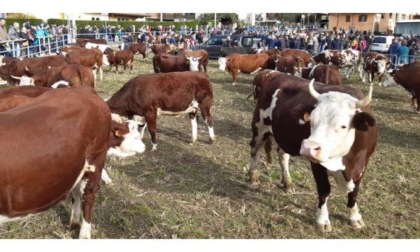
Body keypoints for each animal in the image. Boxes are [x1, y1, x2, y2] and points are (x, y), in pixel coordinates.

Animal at [249, 76, 378, 232]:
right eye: (312, 120)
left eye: (343, 126)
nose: (308, 147)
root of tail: (271, 74)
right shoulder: (317, 165)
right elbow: (324, 191)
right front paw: (323, 220)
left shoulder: (363, 164)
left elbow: (354, 192)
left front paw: (354, 216)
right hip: (259, 127)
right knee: (254, 150)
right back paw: (252, 176)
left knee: (283, 156)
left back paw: (287, 183)